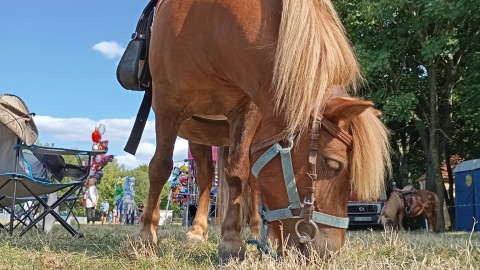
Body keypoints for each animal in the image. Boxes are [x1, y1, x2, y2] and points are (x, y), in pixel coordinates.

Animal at [139, 0, 390, 262]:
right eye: (334, 164)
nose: (329, 253)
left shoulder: (246, 110)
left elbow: (237, 173)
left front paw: (231, 240)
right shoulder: (166, 106)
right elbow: (160, 168)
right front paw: (146, 237)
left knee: (250, 182)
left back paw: (258, 232)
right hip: (197, 133)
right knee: (206, 175)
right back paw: (197, 232)